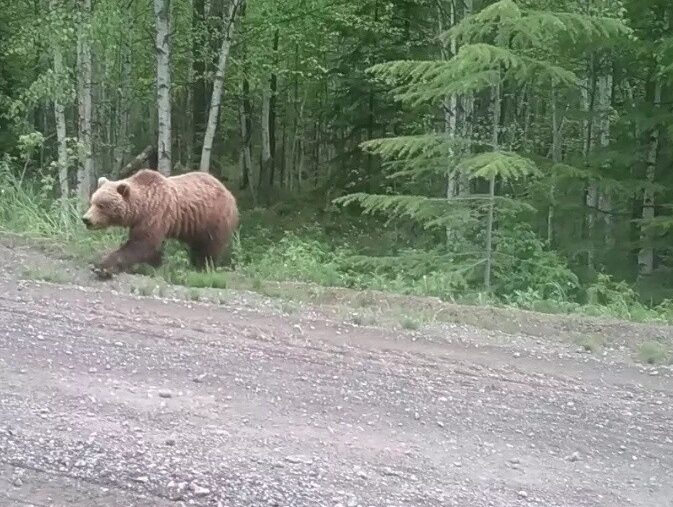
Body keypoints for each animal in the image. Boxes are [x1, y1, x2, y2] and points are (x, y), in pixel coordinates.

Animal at [82, 168, 239, 278]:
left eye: (101, 205)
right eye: (92, 201)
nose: (86, 219)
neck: (140, 209)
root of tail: (229, 192)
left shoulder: (155, 214)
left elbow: (141, 244)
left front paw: (103, 267)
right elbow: (152, 248)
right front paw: (155, 264)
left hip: (214, 219)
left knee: (209, 248)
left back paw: (203, 267)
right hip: (196, 226)